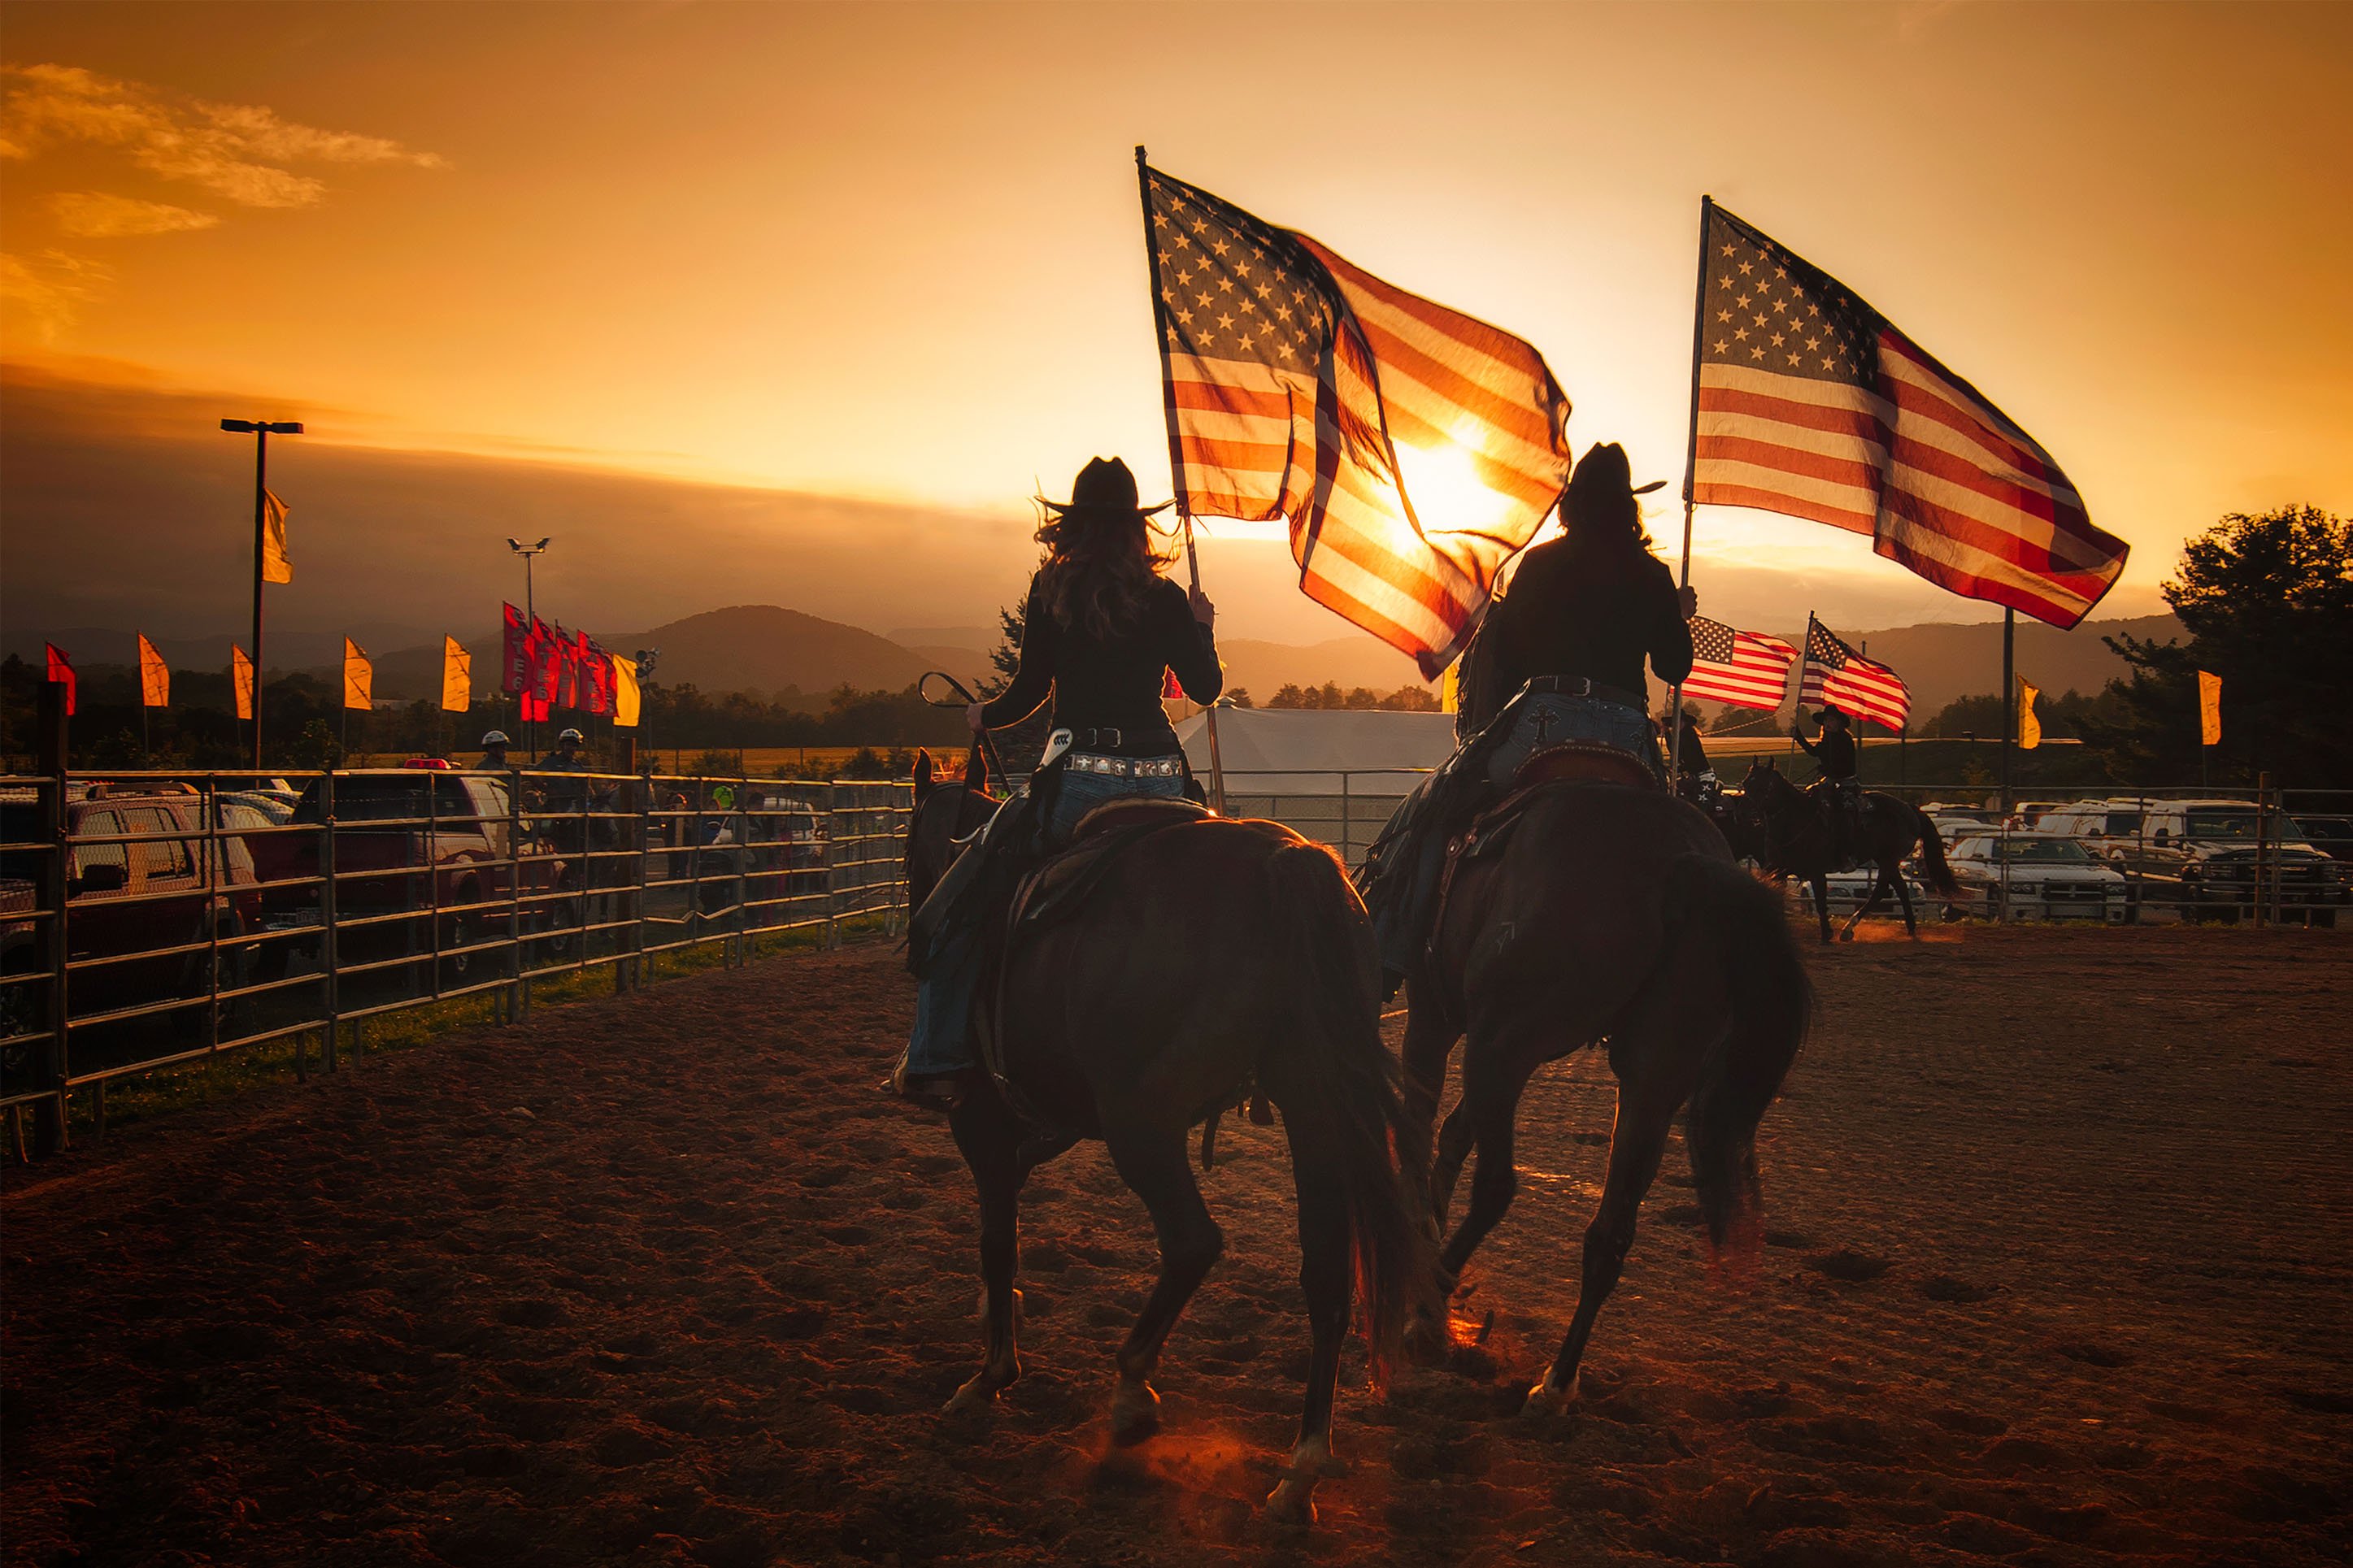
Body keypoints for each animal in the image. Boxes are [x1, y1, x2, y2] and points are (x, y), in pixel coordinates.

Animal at [898, 752, 1420, 1523]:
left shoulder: (984, 1124)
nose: (916, 924)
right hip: (1313, 1105)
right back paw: (1301, 1466)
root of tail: (1287, 866)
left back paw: (1132, 1389)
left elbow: (998, 1240)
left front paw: (990, 1373)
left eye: (910, 853)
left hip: (1140, 1125)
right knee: (1326, 1272)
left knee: (1192, 1241)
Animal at [1393, 705, 1816, 1419]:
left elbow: (1423, 1138)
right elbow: (1450, 1134)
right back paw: (1555, 1382)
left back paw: (1428, 1312)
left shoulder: (1437, 1020)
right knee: (1611, 1229)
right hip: (1652, 1075)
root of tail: (1679, 859)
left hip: (1503, 1044)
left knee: (1497, 1184)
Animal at [1741, 762, 1957, 945]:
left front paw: (1826, 934)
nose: (1748, 815)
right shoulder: (1779, 868)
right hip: (1884, 858)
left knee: (1880, 890)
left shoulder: (1816, 871)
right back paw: (1910, 929)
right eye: (1746, 783)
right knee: (1901, 888)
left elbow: (1821, 902)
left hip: (1888, 858)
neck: (1797, 820)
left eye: (1764, 786)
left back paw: (1848, 929)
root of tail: (1909, 808)